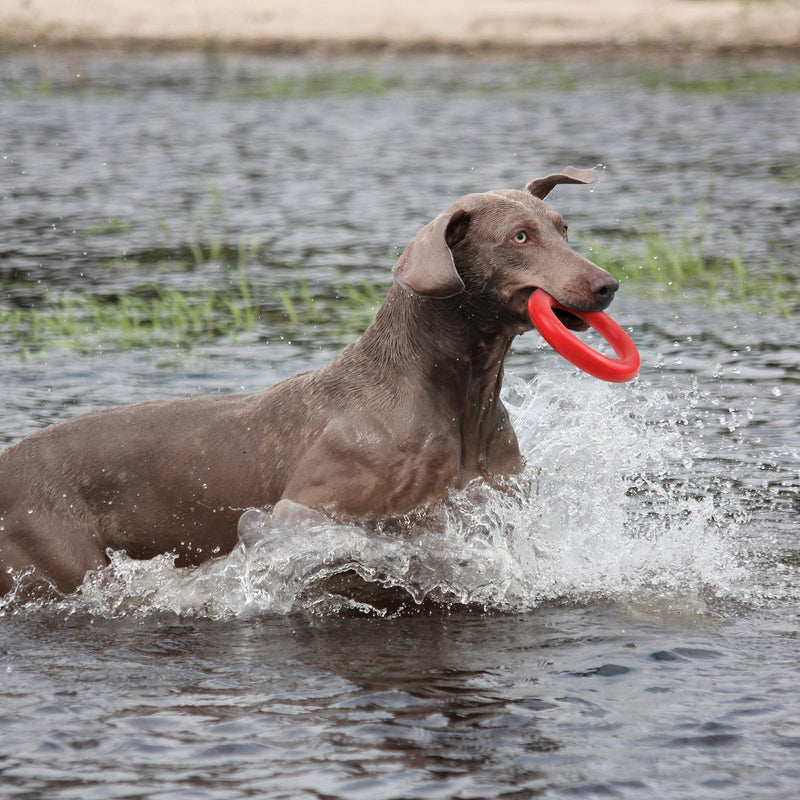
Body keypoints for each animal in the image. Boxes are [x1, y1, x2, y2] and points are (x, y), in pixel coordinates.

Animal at [0, 167, 620, 592]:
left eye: (563, 229)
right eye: (519, 237)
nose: (607, 284)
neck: (460, 393)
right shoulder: (303, 511)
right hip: (56, 555)